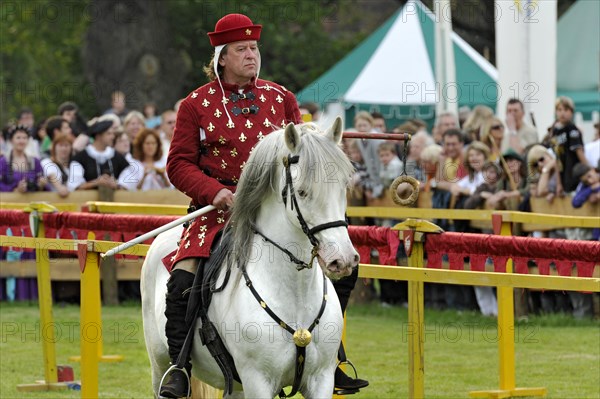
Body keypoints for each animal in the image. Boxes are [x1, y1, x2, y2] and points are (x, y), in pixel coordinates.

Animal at [143, 117, 358, 398]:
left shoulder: (320, 380)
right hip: (159, 365)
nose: (342, 259)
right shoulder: (258, 380)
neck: (295, 294)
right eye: (301, 192)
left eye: (343, 186)